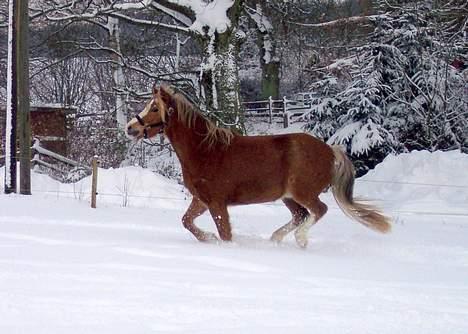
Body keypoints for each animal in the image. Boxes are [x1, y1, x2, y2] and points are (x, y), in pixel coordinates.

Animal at [125, 85, 392, 248]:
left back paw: (300, 239)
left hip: (303, 193)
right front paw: (208, 239)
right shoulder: (200, 200)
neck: (206, 150)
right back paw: (276, 239)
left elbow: (225, 233)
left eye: (155, 108)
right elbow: (186, 221)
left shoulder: (217, 203)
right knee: (301, 215)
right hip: (288, 197)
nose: (130, 127)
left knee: (319, 210)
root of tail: (330, 150)